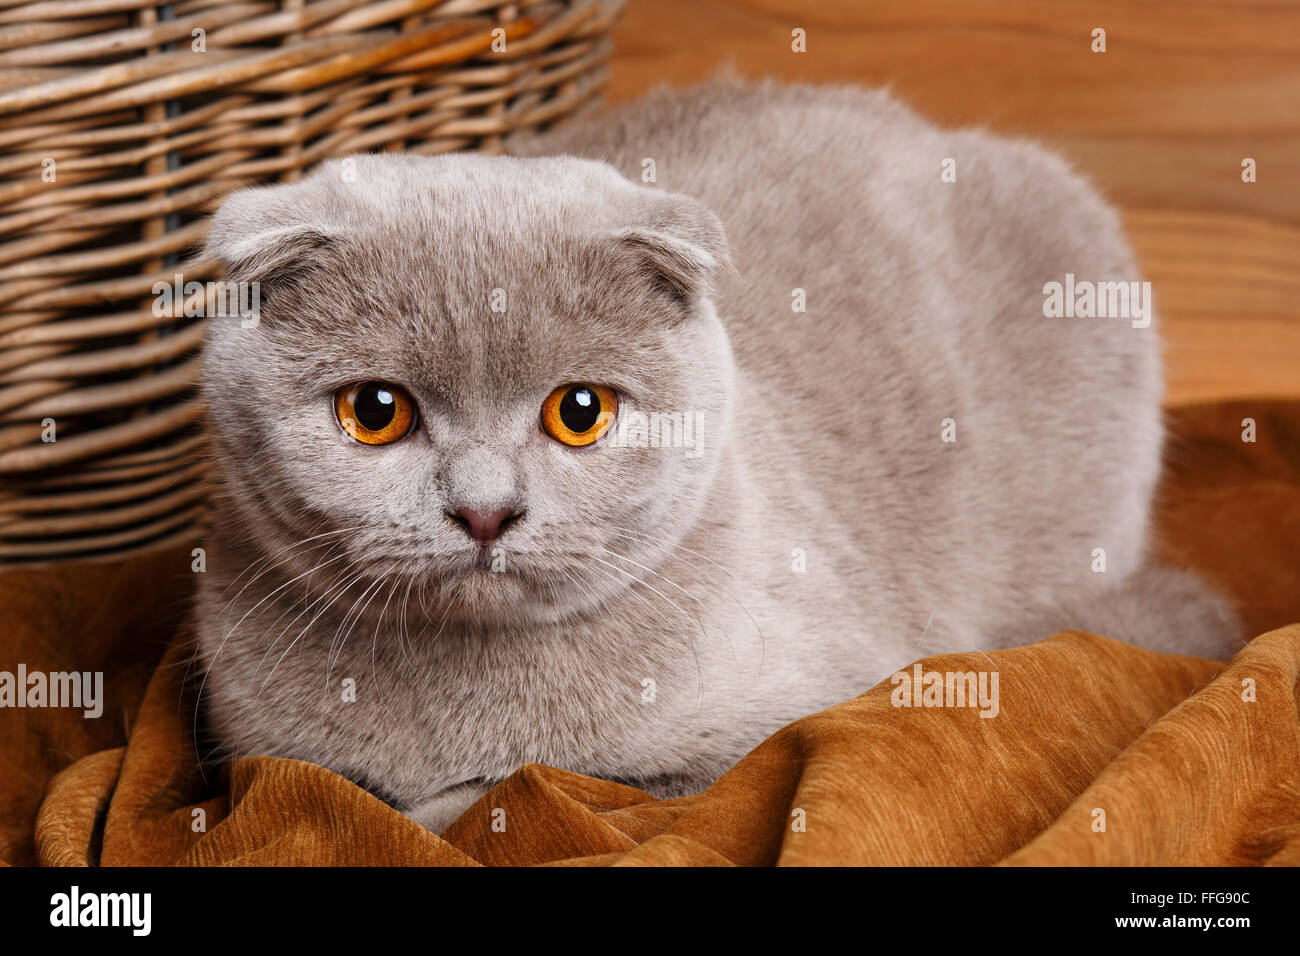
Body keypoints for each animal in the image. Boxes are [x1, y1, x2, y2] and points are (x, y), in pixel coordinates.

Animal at [192, 80, 1237, 832]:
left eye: (580, 413)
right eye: (376, 412)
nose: (486, 510)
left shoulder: (801, 717)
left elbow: (520, 794)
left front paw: (459, 794)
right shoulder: (261, 756)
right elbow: (357, 792)